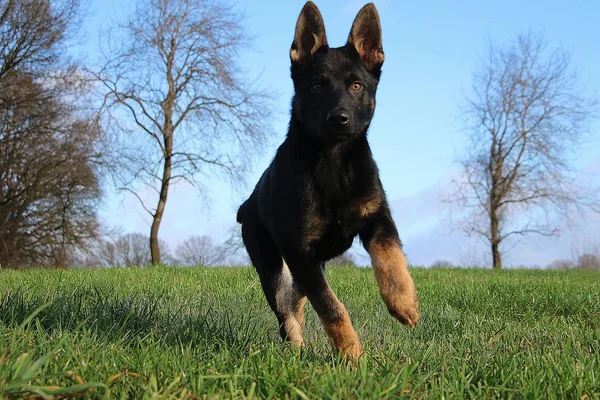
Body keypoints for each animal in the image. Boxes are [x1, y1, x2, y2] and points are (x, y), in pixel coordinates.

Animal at [237, 1, 420, 360]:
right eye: (317, 86)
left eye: (356, 86)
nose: (340, 118)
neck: (334, 163)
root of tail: (247, 204)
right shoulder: (300, 253)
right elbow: (331, 306)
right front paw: (351, 352)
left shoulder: (377, 217)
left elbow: (391, 257)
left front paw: (404, 303)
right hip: (273, 268)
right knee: (286, 312)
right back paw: (296, 347)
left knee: (297, 302)